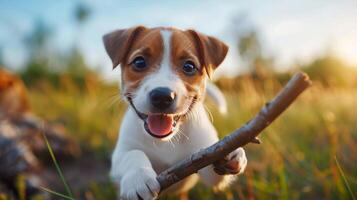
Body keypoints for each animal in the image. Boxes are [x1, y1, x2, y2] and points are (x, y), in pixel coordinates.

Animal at [103, 26, 246, 200]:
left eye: (189, 66)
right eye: (139, 62)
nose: (162, 96)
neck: (166, 141)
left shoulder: (205, 166)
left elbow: (215, 172)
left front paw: (229, 151)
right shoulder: (120, 155)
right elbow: (133, 154)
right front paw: (138, 178)